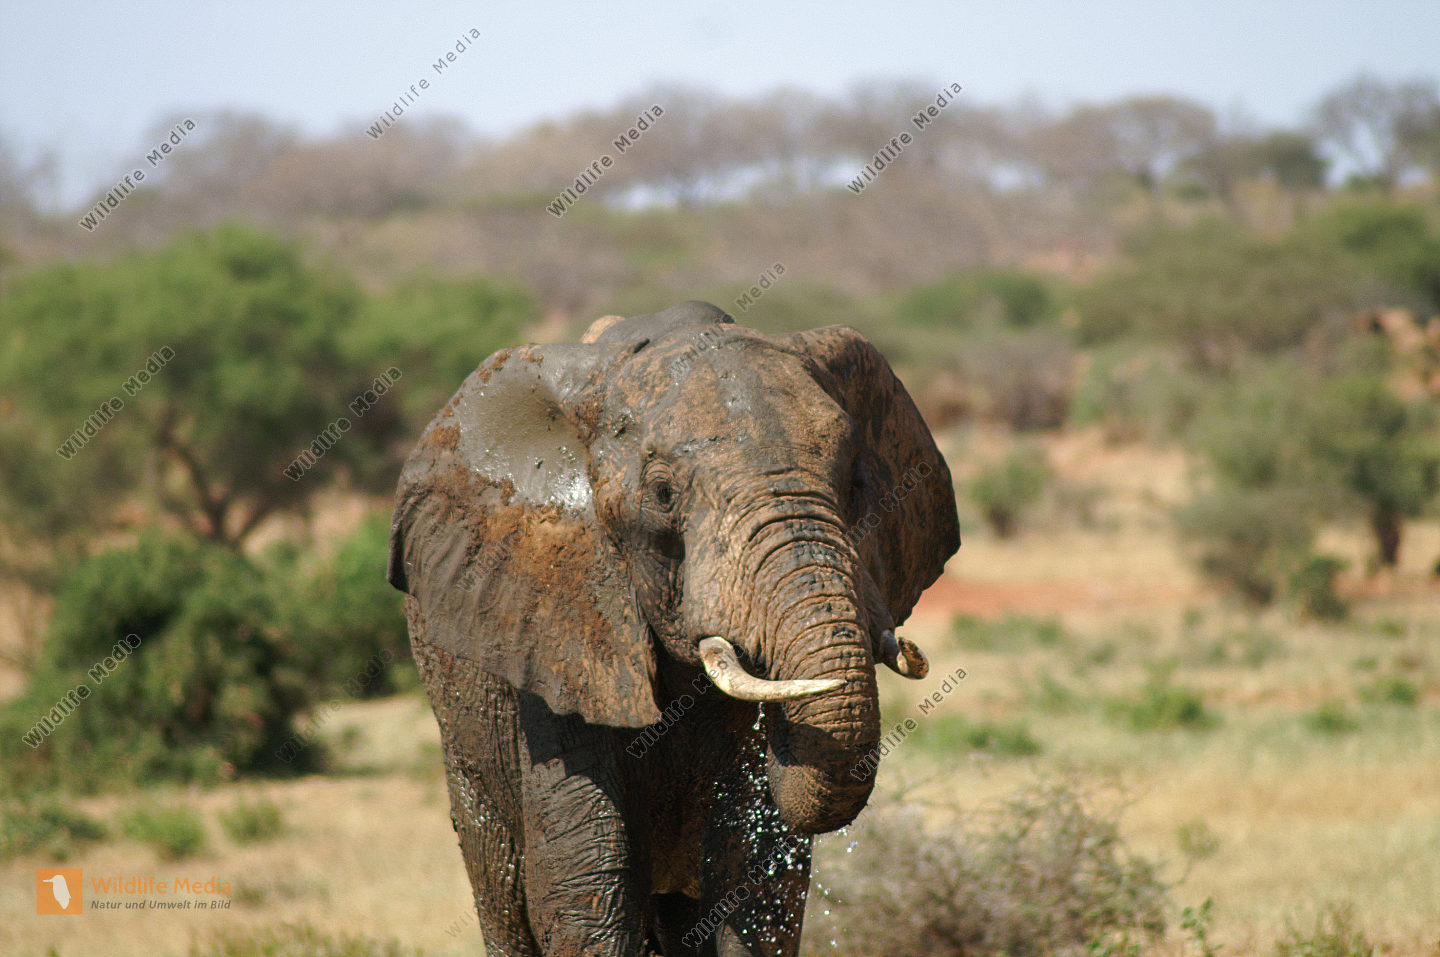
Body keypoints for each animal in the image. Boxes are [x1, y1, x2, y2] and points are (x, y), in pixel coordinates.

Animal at [386, 300, 959, 955]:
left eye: (857, 486)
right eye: (662, 495)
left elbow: (757, 880)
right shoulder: (554, 625)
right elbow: (584, 885)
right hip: (466, 748)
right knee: (503, 891)